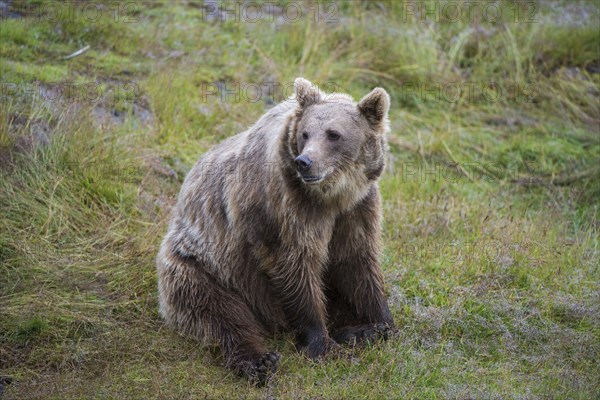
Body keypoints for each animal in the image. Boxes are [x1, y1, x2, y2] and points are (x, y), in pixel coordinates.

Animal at [157, 78, 396, 384]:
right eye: (305, 134)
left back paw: (354, 333)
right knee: (219, 312)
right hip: (203, 267)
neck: (332, 196)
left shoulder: (357, 209)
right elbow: (296, 265)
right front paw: (322, 344)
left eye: (333, 134)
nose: (304, 162)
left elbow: (357, 262)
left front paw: (376, 323)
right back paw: (259, 360)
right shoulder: (284, 207)